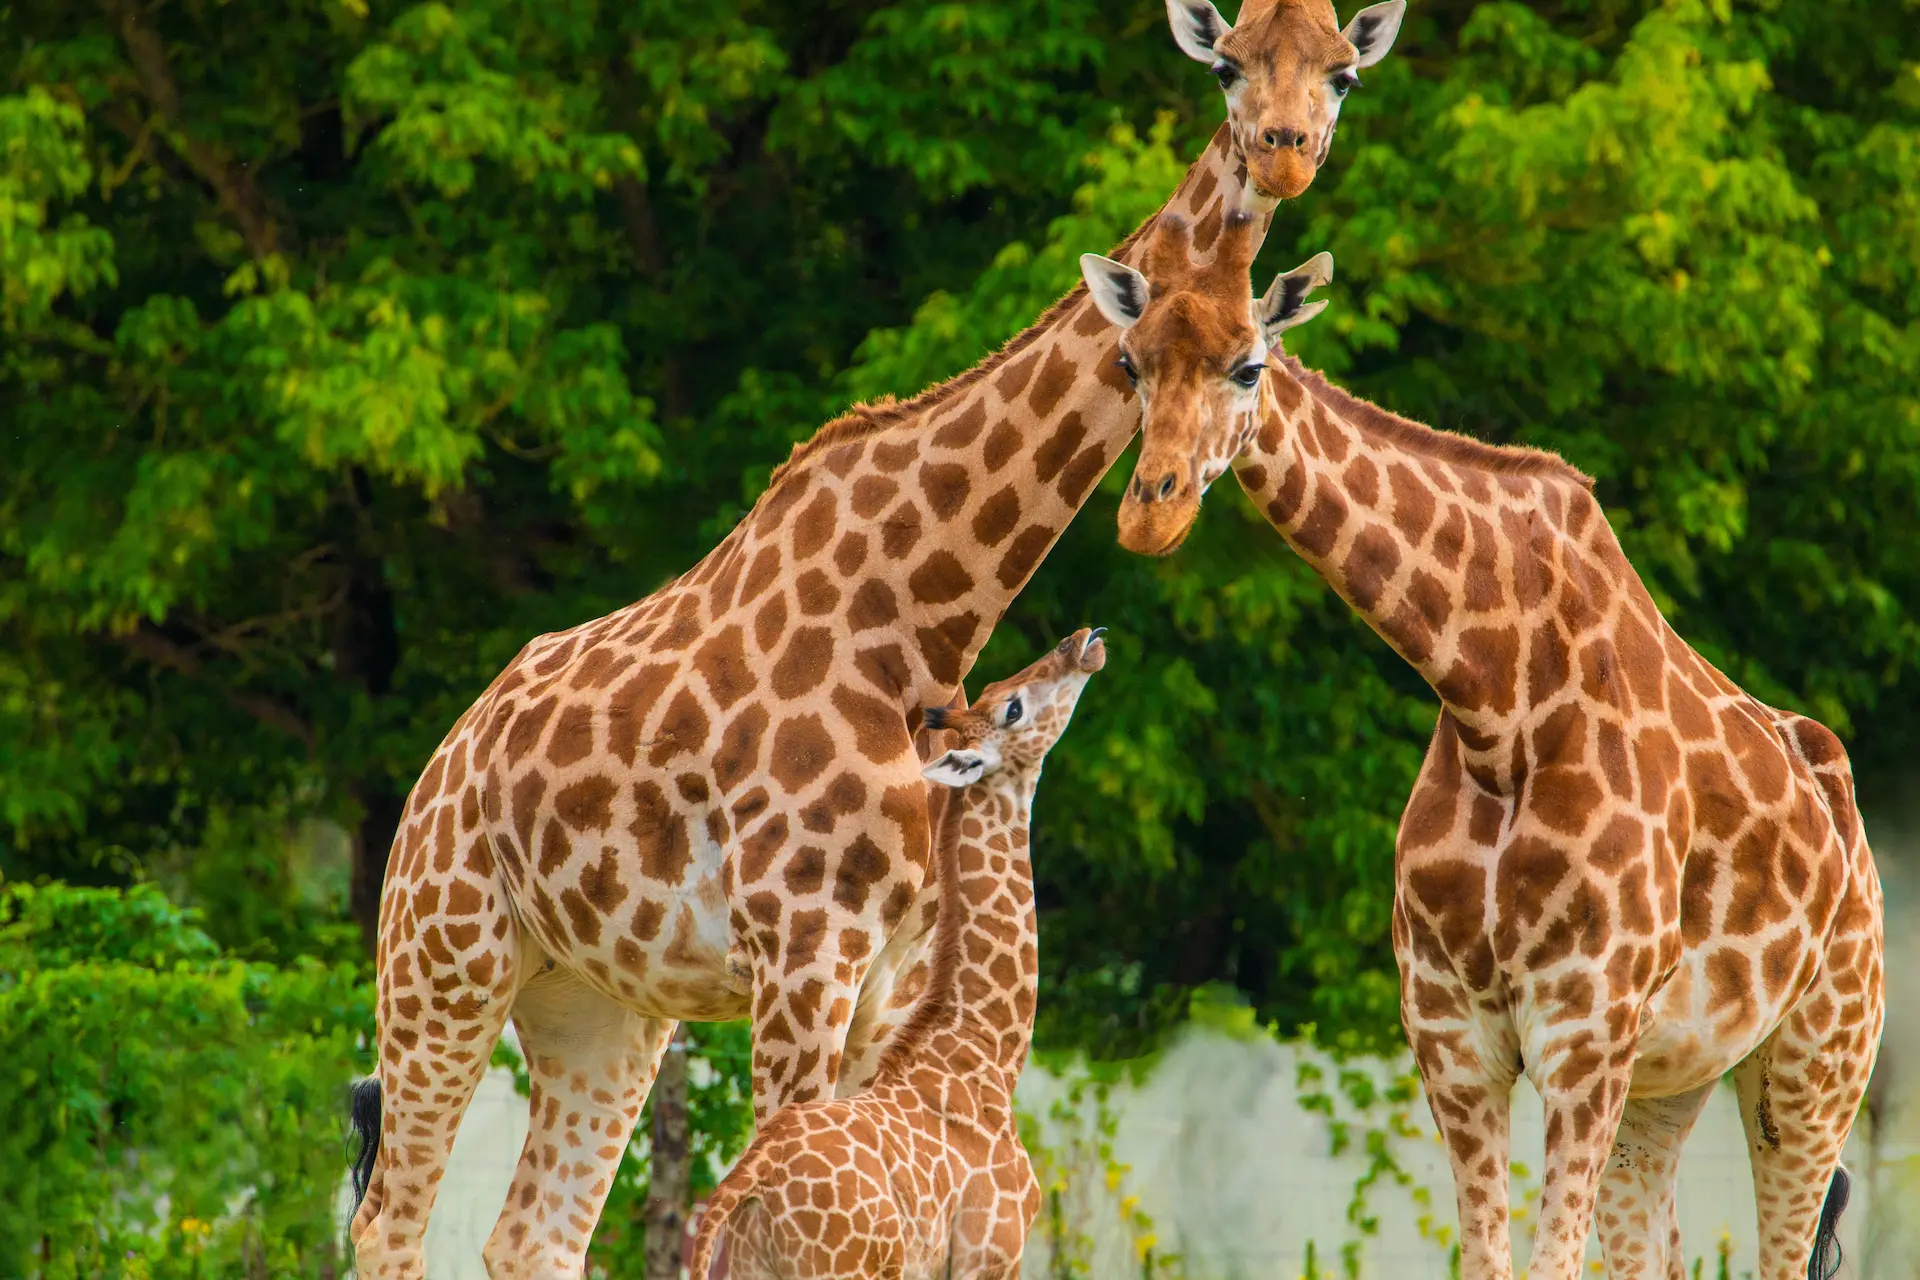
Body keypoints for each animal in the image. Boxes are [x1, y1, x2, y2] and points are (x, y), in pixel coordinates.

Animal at [683, 628, 1105, 1280]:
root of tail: (751, 1179)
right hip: (845, 1267)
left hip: (754, 1266)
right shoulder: (992, 1252)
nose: (1080, 641)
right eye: (1013, 709)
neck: (989, 1049)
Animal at [1075, 247, 1885, 1280]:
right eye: (1129, 363)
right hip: (1671, 1083)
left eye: (1249, 366)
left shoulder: (1583, 1035)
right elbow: (1489, 1259)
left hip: (1820, 1059)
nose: (1153, 513)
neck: (1495, 705)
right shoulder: (1453, 1038)